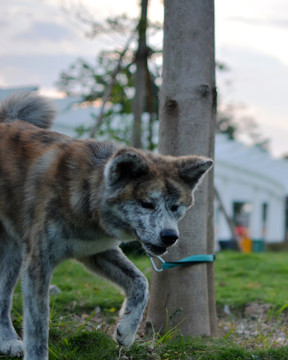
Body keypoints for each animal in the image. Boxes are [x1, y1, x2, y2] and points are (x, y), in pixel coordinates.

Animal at [0, 93, 212, 360]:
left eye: (175, 207)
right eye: (146, 204)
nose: (170, 236)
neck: (85, 193)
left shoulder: (96, 251)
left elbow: (141, 283)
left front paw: (127, 330)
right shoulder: (38, 263)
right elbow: (38, 326)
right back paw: (9, 339)